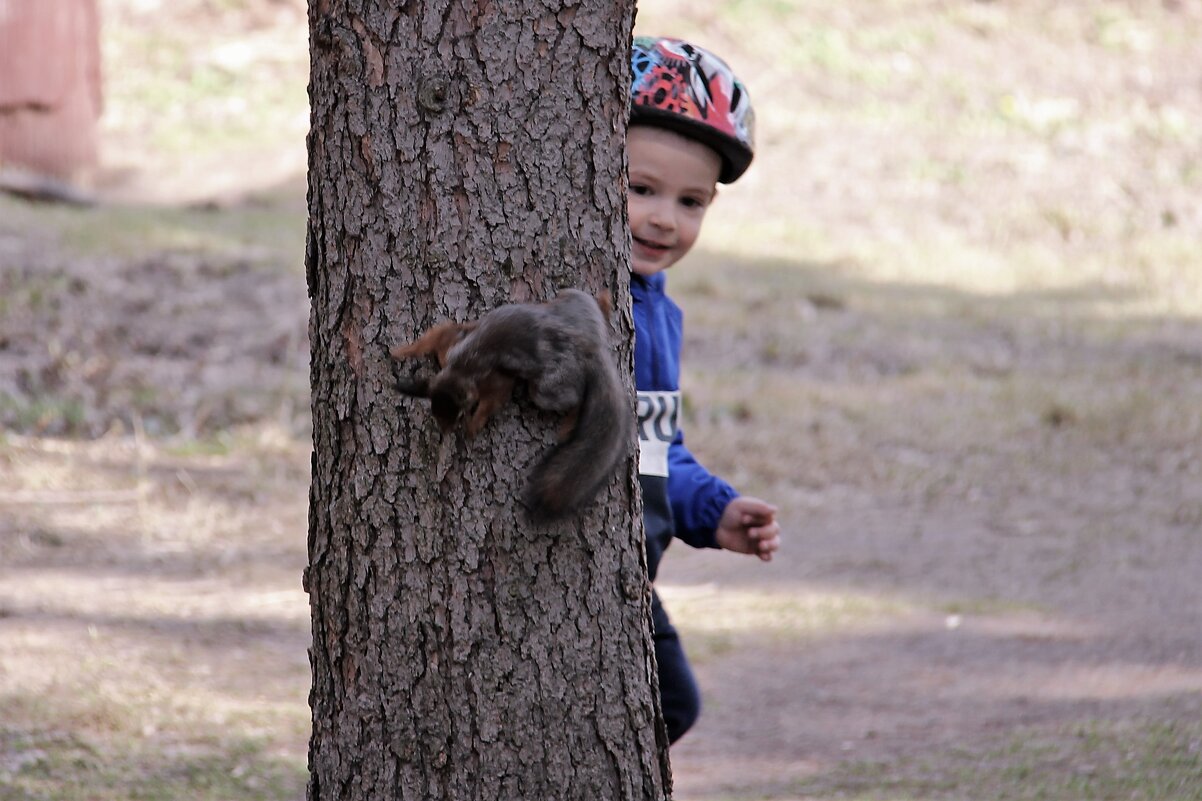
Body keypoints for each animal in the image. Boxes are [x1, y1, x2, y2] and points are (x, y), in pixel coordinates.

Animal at [394, 287, 639, 517]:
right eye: (435, 413)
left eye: (460, 414)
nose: (446, 432)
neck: (463, 368)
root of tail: (589, 346)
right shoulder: (452, 346)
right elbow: (432, 338)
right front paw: (402, 351)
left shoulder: (493, 379)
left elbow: (492, 401)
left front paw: (473, 426)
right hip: (574, 302)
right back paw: (603, 301)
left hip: (548, 388)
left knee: (574, 399)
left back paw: (570, 421)